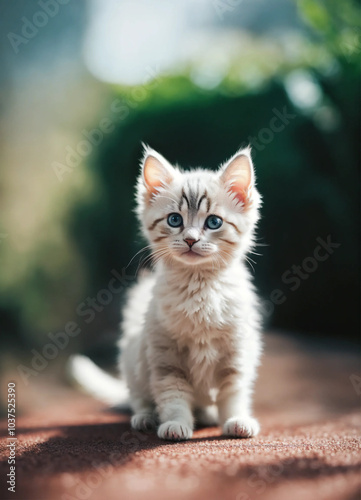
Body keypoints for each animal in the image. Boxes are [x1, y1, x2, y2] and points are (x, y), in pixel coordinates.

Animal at [119, 146, 262, 442]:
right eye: (175, 220)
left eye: (214, 222)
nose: (190, 239)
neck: (200, 288)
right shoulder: (165, 358)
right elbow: (173, 396)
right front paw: (175, 424)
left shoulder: (237, 354)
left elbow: (233, 394)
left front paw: (236, 420)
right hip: (134, 359)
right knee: (138, 398)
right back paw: (145, 417)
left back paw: (207, 415)